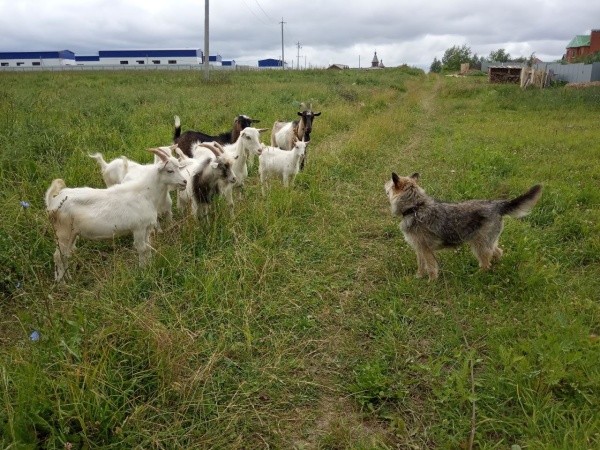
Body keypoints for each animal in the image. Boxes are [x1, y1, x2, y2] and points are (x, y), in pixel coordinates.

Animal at [46, 148, 189, 282]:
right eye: (169, 170)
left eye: (178, 167)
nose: (184, 182)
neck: (145, 193)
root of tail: (52, 201)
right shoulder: (139, 228)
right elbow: (142, 248)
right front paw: (142, 271)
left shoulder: (147, 228)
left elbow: (148, 247)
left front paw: (149, 265)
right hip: (63, 232)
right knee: (58, 256)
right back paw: (61, 281)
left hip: (72, 234)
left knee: (65, 255)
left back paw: (68, 278)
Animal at [385, 172, 542, 280]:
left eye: (390, 184)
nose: (384, 184)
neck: (415, 208)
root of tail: (498, 205)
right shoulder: (419, 248)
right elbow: (421, 265)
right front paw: (418, 277)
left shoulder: (426, 249)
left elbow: (431, 268)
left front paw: (431, 282)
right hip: (487, 241)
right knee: (498, 252)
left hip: (479, 245)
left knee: (485, 263)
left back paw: (477, 276)